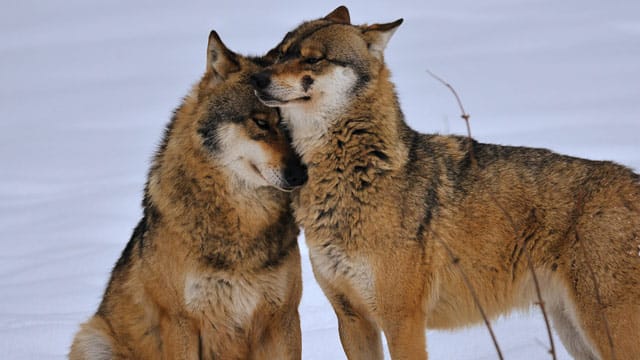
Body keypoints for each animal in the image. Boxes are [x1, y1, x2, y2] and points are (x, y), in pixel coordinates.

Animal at [69, 31, 308, 360]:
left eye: (296, 125)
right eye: (261, 122)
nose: (301, 175)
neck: (241, 233)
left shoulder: (284, 319)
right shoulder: (180, 322)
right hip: (92, 339)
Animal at [251, 5, 640, 360]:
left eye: (313, 59)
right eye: (278, 52)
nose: (257, 79)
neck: (353, 175)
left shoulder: (403, 321)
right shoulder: (352, 319)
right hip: (574, 334)